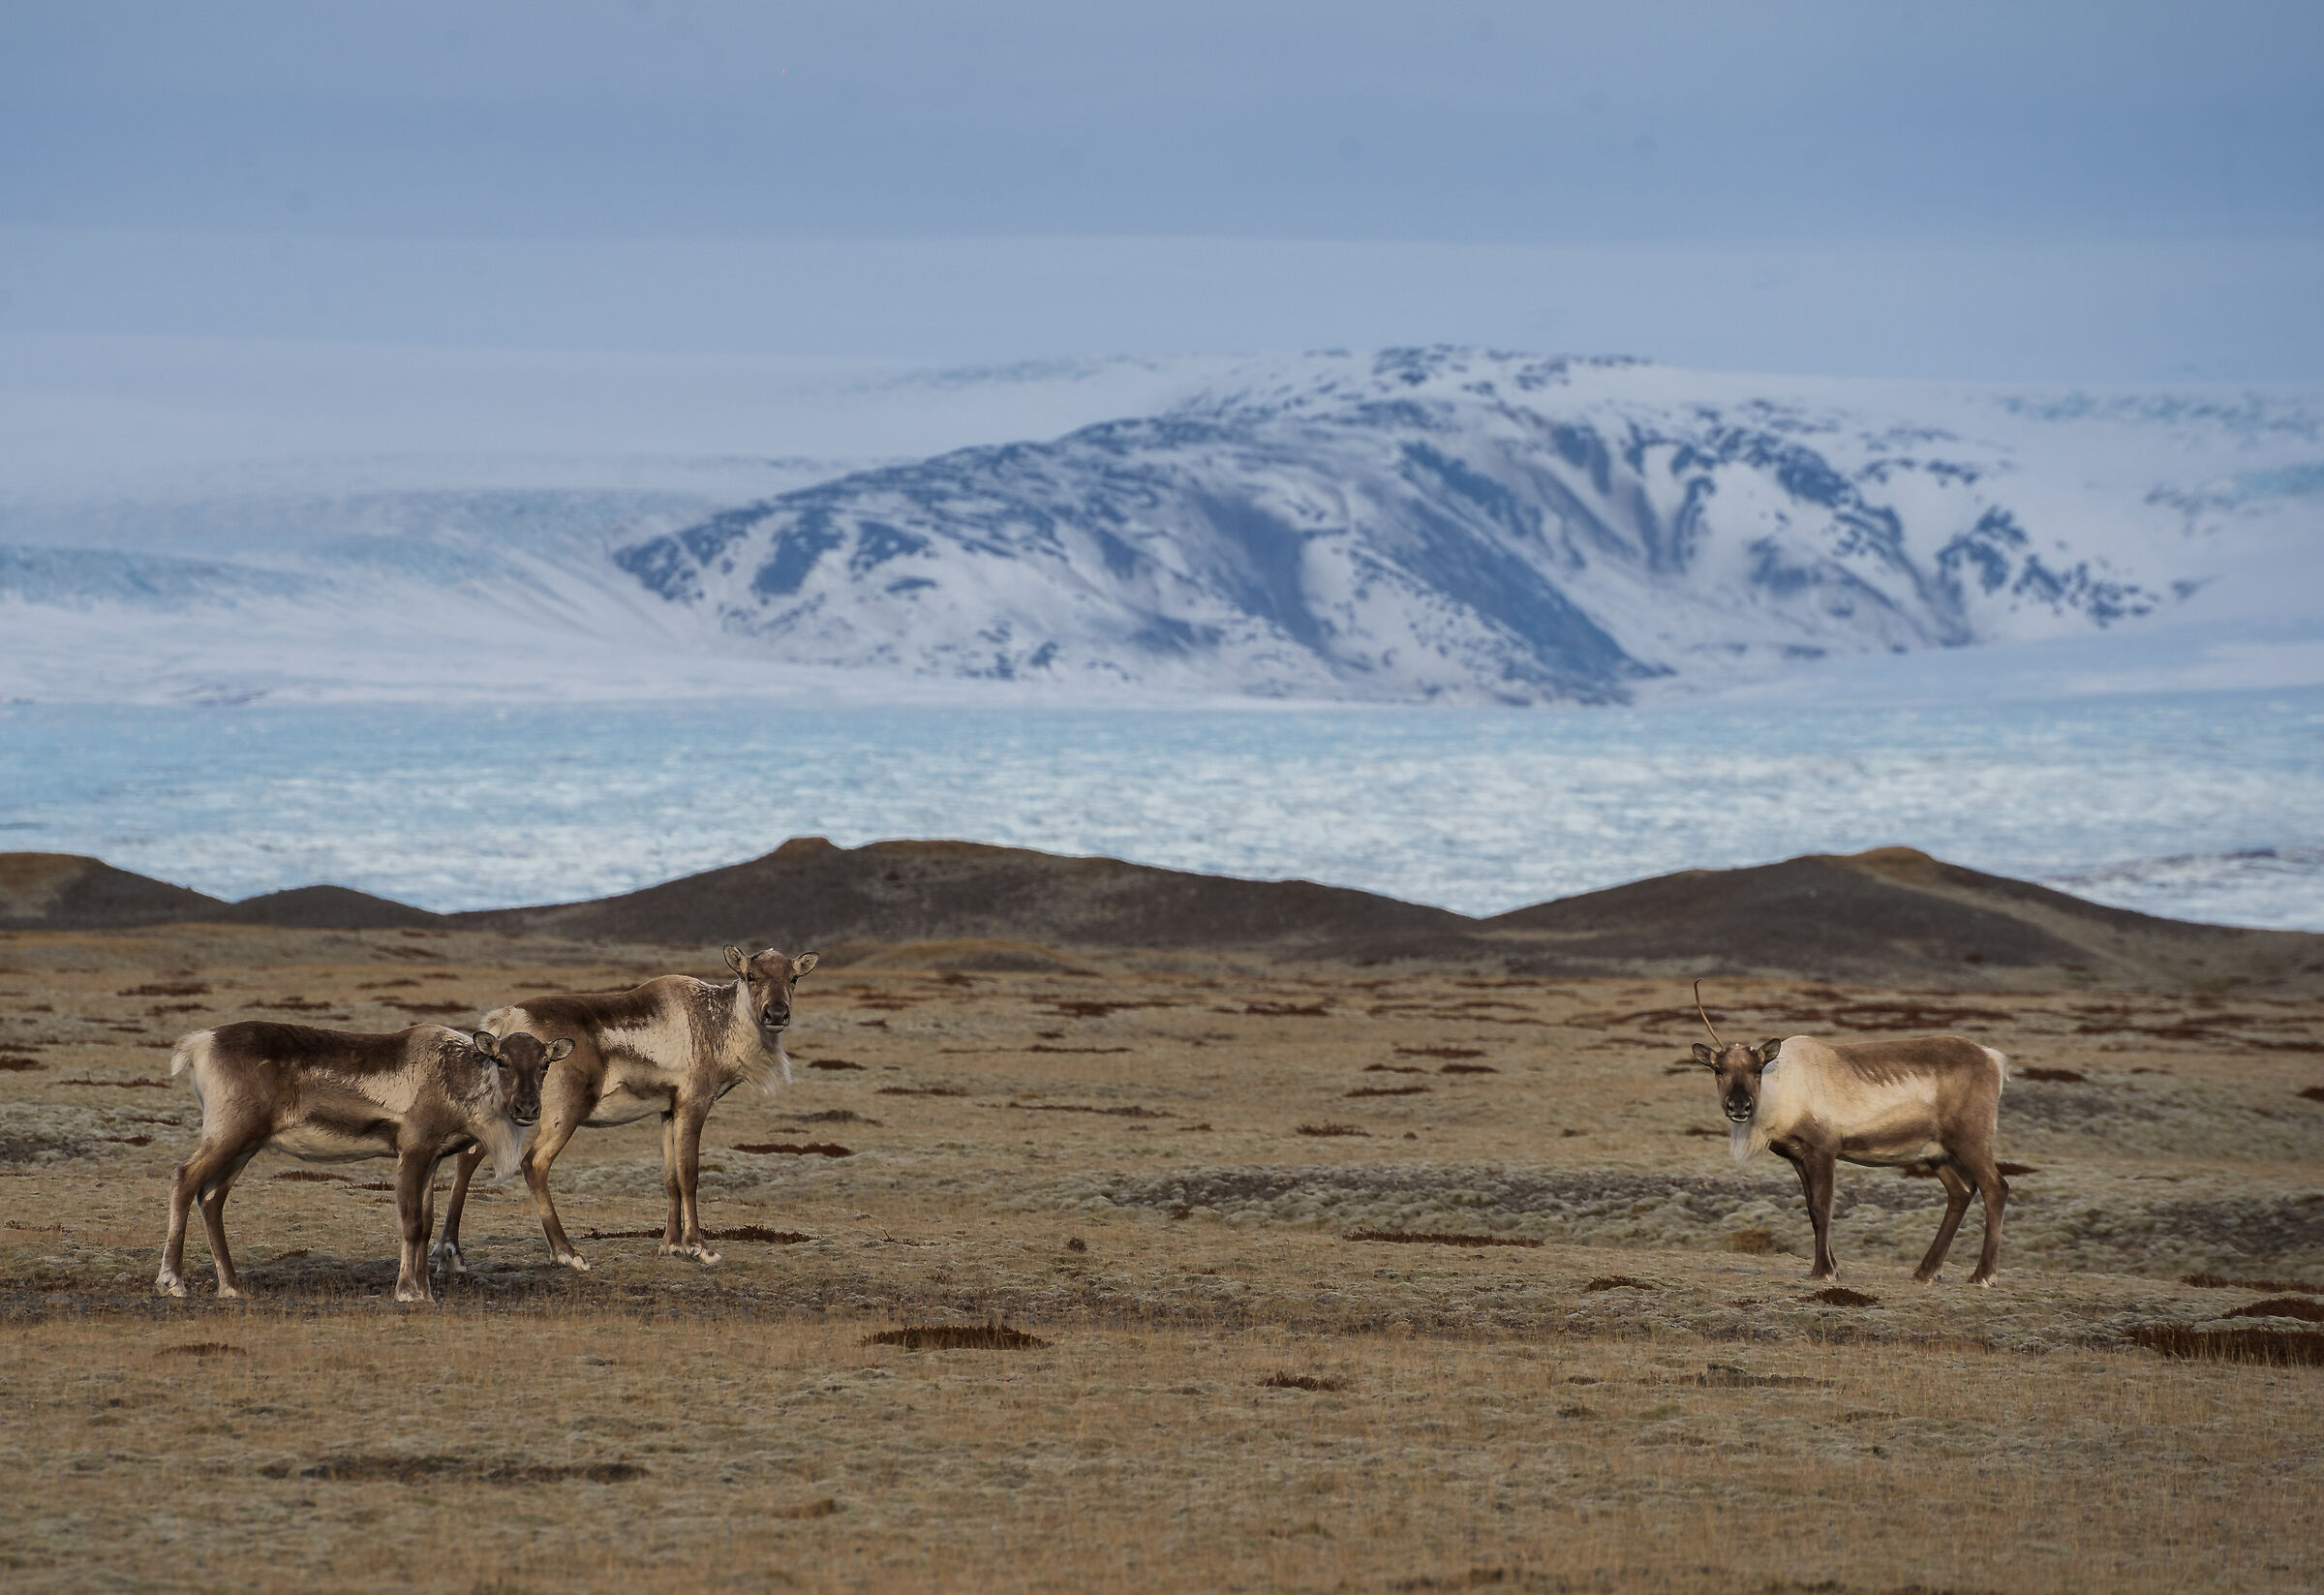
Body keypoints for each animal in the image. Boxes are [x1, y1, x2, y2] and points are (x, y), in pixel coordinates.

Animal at [156, 1021, 570, 1304]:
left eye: (545, 1064)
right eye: (501, 1061)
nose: (527, 1109)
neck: (458, 1081)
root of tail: (200, 1044)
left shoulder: (433, 1157)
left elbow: (427, 1223)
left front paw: (427, 1292)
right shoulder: (413, 1149)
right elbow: (411, 1223)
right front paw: (407, 1291)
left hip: (246, 1144)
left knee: (211, 1196)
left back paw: (232, 1286)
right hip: (229, 1132)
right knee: (184, 1178)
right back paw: (172, 1281)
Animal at [433, 945, 819, 1275]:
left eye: (794, 978)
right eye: (750, 975)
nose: (777, 1013)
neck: (718, 1026)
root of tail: (506, 1021)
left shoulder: (668, 1111)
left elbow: (670, 1177)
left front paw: (672, 1245)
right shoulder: (694, 1102)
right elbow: (690, 1174)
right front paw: (700, 1247)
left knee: (468, 1157)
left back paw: (451, 1253)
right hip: (558, 1111)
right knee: (534, 1163)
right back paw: (568, 1254)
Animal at [1686, 982, 2011, 1286]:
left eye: (1757, 1069)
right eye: (1718, 1069)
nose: (1739, 1105)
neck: (1780, 1095)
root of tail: (1993, 1059)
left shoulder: (1823, 1148)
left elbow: (1823, 1207)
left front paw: (1823, 1271)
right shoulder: (1798, 1155)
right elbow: (1811, 1209)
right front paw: (1833, 1267)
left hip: (1971, 1140)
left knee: (1995, 1187)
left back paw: (1983, 1275)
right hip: (1937, 1151)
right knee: (1961, 1191)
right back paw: (1926, 1272)